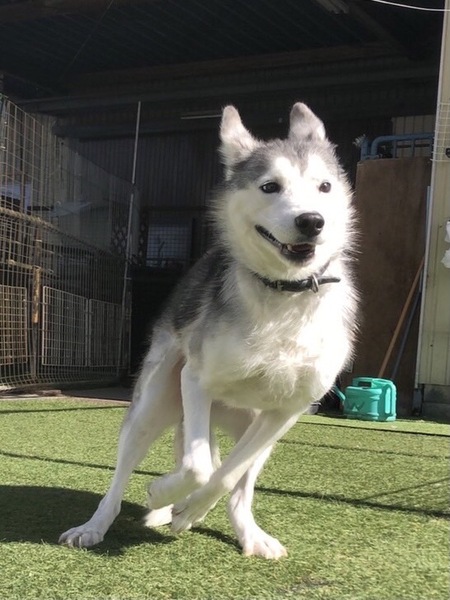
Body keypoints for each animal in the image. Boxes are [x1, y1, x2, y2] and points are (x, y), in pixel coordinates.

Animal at [59, 102, 358, 559]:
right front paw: (164, 495)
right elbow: (199, 468)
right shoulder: (195, 380)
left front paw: (187, 510)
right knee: (126, 476)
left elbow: (226, 473)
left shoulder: (286, 411)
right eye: (270, 187)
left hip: (255, 426)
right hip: (156, 402)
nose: (312, 221)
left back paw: (245, 532)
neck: (283, 295)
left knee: (239, 477)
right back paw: (98, 525)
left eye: (324, 186)